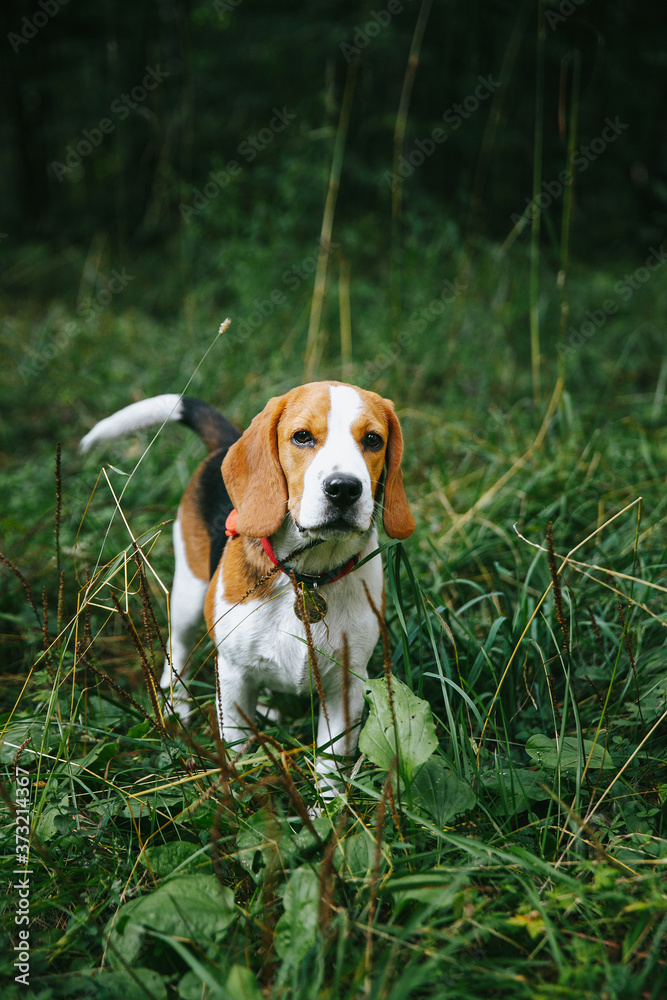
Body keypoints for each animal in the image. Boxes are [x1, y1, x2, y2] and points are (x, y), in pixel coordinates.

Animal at [81, 380, 414, 788]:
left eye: (372, 440)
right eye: (302, 437)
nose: (344, 488)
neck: (306, 576)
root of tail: (225, 443)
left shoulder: (345, 686)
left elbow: (330, 766)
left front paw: (328, 805)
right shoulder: (233, 676)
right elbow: (237, 747)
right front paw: (238, 791)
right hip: (189, 595)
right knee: (178, 649)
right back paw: (177, 707)